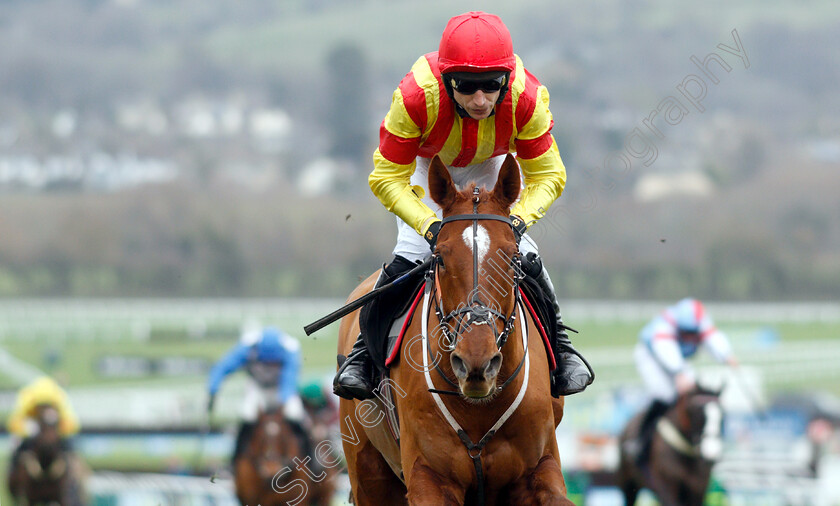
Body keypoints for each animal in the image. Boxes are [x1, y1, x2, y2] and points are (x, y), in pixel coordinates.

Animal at [334, 155, 572, 506]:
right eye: (441, 258)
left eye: (512, 258)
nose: (477, 363)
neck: (480, 407)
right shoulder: (429, 478)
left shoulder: (540, 468)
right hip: (368, 474)